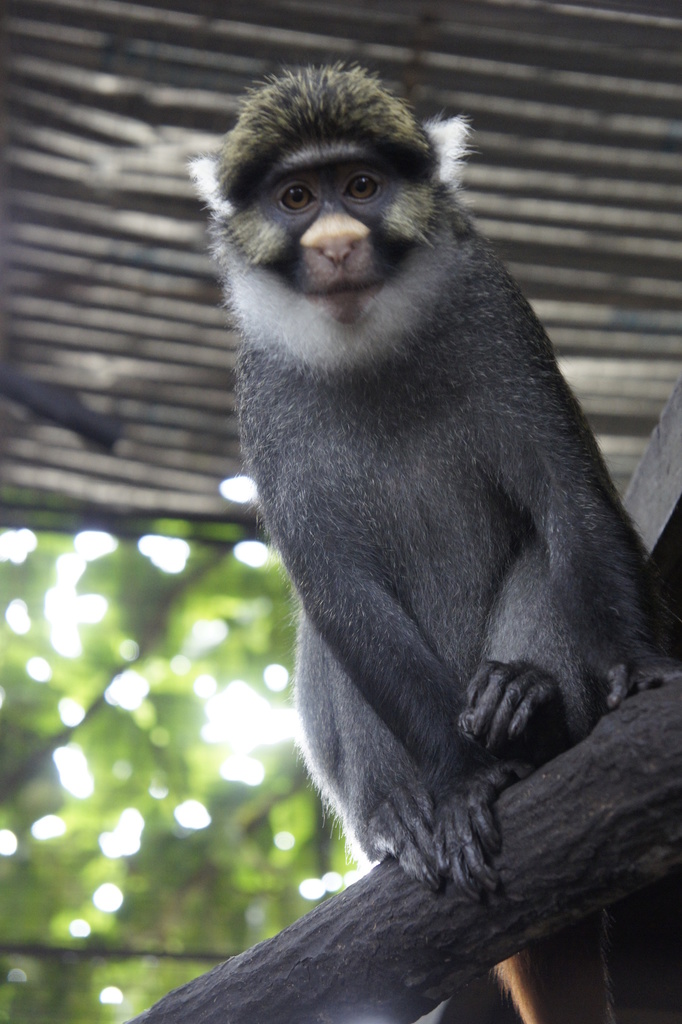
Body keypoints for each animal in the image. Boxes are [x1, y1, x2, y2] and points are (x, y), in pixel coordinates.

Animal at [192, 65, 681, 1024]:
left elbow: (569, 501)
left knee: (544, 563)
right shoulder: (264, 402)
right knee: (327, 640)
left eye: (362, 187)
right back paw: (405, 815)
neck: (368, 346)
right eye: (296, 197)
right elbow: (336, 590)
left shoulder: (494, 312)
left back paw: (533, 716)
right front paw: (456, 785)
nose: (337, 240)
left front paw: (638, 671)